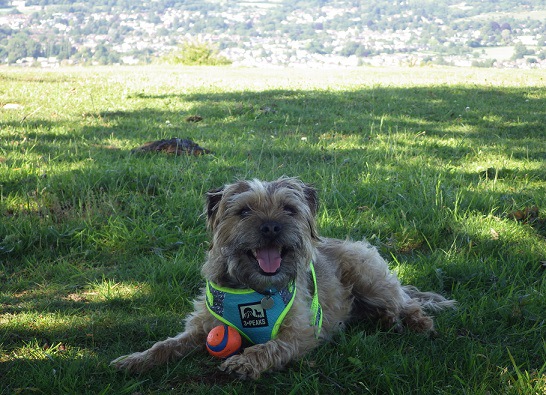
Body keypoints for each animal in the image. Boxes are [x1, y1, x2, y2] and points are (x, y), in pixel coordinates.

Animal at [109, 177, 450, 380]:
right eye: (244, 211)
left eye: (288, 209)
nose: (271, 227)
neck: (254, 288)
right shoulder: (201, 326)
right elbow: (166, 345)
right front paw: (135, 359)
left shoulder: (301, 331)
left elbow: (271, 347)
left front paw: (245, 362)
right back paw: (384, 319)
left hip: (367, 274)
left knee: (405, 302)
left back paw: (414, 322)